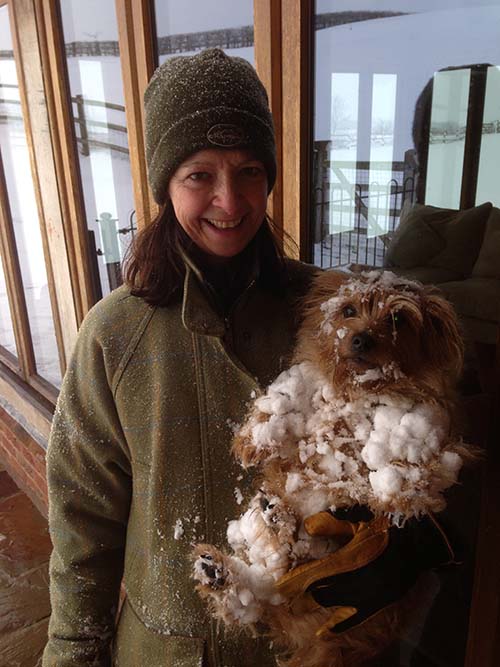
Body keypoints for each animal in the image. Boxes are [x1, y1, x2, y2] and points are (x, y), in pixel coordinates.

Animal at [192, 268, 468, 664]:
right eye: (348, 310)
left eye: (397, 318)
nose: (361, 339)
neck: (357, 391)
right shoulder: (307, 382)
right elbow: (285, 402)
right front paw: (254, 437)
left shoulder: (433, 427)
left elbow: (412, 468)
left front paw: (394, 488)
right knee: (262, 588)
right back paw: (226, 564)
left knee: (282, 570)